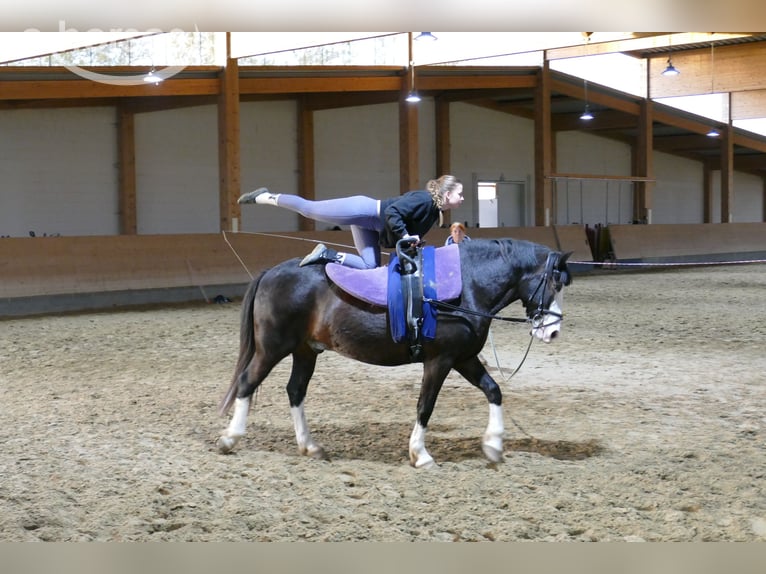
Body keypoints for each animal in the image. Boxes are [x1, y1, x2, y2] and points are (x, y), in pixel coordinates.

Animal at [217, 238, 572, 468]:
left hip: (306, 351)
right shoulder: (440, 360)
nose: (552, 331)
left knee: (295, 391)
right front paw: (421, 455)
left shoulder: (464, 358)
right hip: (272, 348)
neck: (467, 285)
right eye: (554, 283)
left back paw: (310, 446)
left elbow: (493, 390)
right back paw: (230, 439)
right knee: (247, 383)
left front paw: (494, 445)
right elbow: (425, 405)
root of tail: (270, 272)